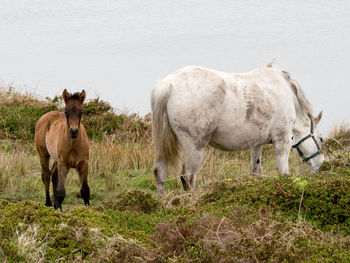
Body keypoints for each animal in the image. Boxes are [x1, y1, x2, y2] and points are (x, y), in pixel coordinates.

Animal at [152, 62, 324, 194]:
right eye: (321, 139)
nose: (320, 165)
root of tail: (168, 85)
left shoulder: (257, 144)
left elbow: (255, 171)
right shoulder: (282, 140)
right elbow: (283, 172)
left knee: (160, 172)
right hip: (195, 145)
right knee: (188, 176)